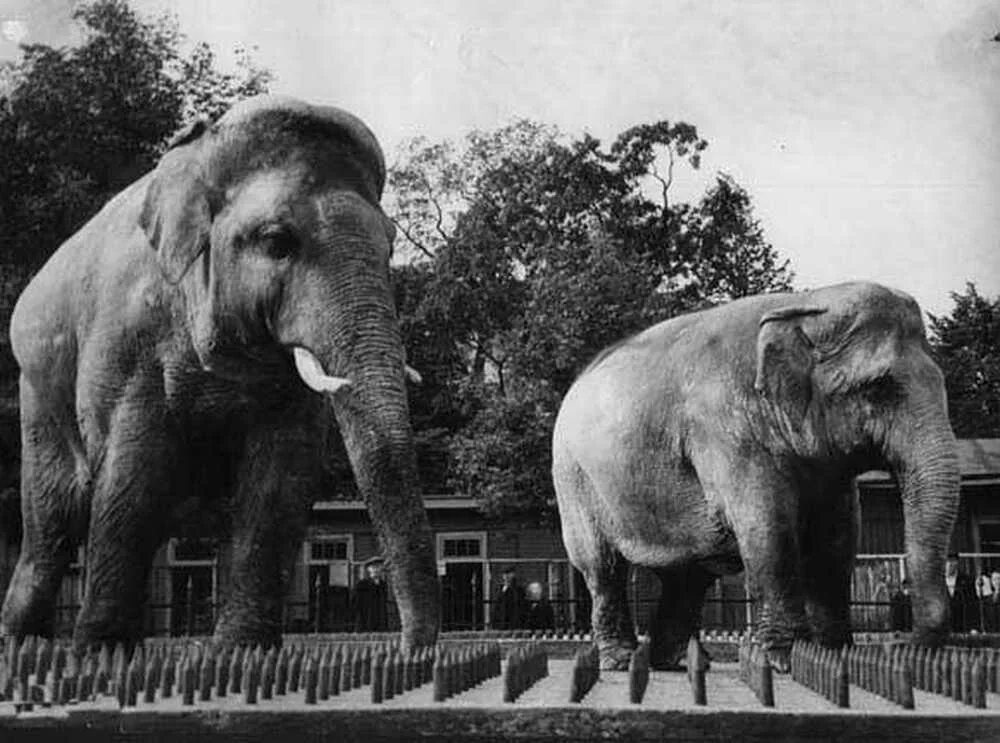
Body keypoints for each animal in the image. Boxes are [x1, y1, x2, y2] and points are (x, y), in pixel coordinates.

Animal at [0, 97, 440, 652]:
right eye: (277, 241)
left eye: (390, 246)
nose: (407, 648)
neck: (201, 154)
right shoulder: (128, 341)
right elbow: (134, 473)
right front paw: (102, 652)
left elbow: (282, 475)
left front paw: (243, 652)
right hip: (37, 392)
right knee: (53, 523)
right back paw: (26, 646)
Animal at [556, 282, 960, 672]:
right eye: (878, 387)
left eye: (942, 381)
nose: (902, 646)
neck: (807, 306)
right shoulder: (727, 431)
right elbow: (769, 528)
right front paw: (785, 659)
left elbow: (838, 539)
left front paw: (834, 656)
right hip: (573, 481)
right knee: (602, 567)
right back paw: (622, 660)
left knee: (687, 577)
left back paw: (676, 662)